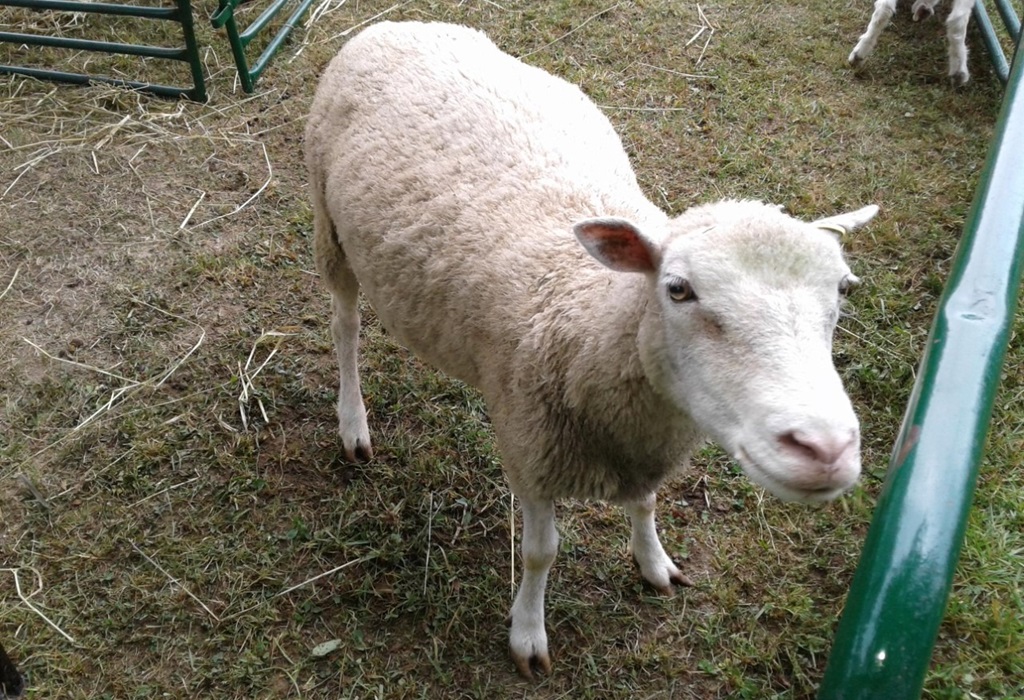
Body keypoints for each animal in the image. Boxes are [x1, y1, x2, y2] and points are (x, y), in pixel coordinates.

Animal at [305, 20, 878, 678]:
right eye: (677, 289)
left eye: (844, 287)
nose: (825, 449)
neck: (592, 316)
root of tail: (398, 23)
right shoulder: (528, 446)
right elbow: (539, 553)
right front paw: (528, 634)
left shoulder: (640, 446)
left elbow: (647, 505)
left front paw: (654, 563)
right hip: (328, 224)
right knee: (345, 327)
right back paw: (353, 422)